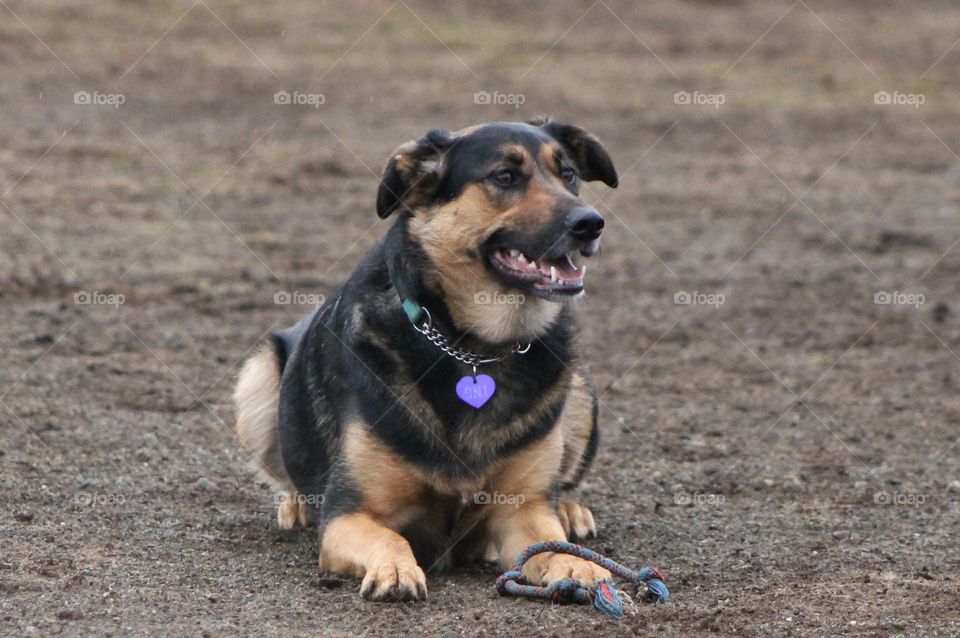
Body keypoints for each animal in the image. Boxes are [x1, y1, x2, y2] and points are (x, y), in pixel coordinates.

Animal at [236, 117, 620, 604]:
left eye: (568, 174)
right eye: (505, 176)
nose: (591, 223)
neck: (473, 347)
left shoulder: (521, 511)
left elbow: (549, 542)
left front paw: (578, 565)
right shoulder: (349, 514)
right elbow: (389, 537)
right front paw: (396, 569)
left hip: (579, 388)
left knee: (565, 483)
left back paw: (571, 509)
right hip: (259, 375)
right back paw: (297, 506)